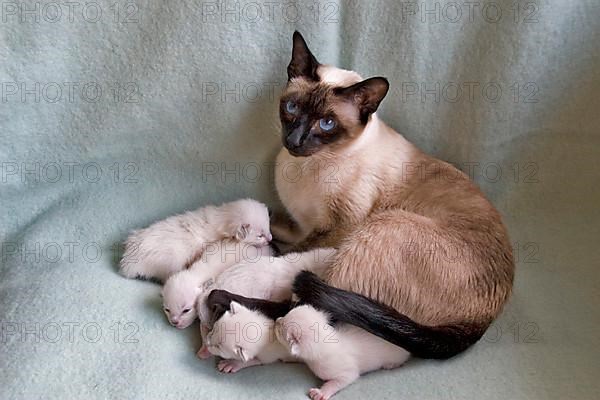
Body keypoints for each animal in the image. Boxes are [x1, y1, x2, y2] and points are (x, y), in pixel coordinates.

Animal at [118, 199, 270, 282]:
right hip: (169, 264)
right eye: (260, 235)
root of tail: (128, 262)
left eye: (268, 228)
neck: (222, 216)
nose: (270, 239)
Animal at [270, 32, 512, 360]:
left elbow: (289, 253)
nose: (294, 141)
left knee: (311, 306)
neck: (305, 167)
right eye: (292, 107)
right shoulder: (303, 224)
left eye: (327, 123)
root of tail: (481, 324)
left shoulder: (337, 228)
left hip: (380, 227)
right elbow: (274, 223)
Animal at [276, 304, 412, 398]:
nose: (277, 319)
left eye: (281, 326)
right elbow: (300, 357)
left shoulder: (347, 373)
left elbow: (338, 381)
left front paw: (322, 392)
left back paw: (391, 364)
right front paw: (289, 357)